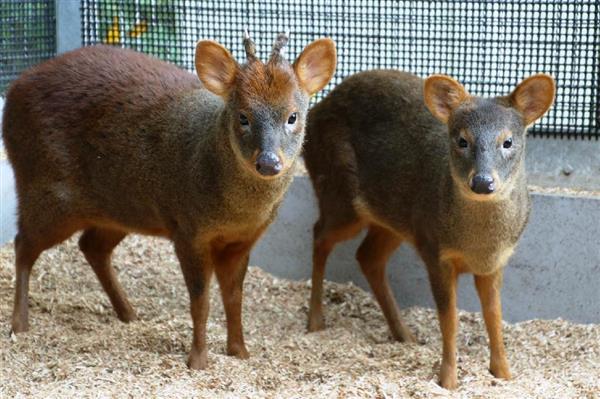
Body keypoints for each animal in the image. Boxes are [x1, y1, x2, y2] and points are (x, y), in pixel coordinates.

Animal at [1, 32, 338, 370]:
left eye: (293, 116)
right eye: (243, 117)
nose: (268, 162)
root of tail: (15, 90)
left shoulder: (242, 241)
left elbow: (234, 298)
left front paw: (240, 352)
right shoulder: (188, 231)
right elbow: (200, 301)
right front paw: (198, 360)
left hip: (120, 208)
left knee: (91, 246)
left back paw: (129, 314)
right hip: (47, 192)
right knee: (23, 244)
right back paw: (20, 324)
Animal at [308, 70, 556, 390]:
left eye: (508, 141)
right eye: (462, 140)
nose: (482, 182)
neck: (478, 244)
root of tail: (317, 108)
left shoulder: (494, 262)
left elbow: (494, 315)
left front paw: (504, 373)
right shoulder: (435, 252)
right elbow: (449, 319)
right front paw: (448, 379)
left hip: (396, 219)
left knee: (367, 256)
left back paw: (404, 334)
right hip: (338, 193)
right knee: (320, 236)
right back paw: (315, 321)